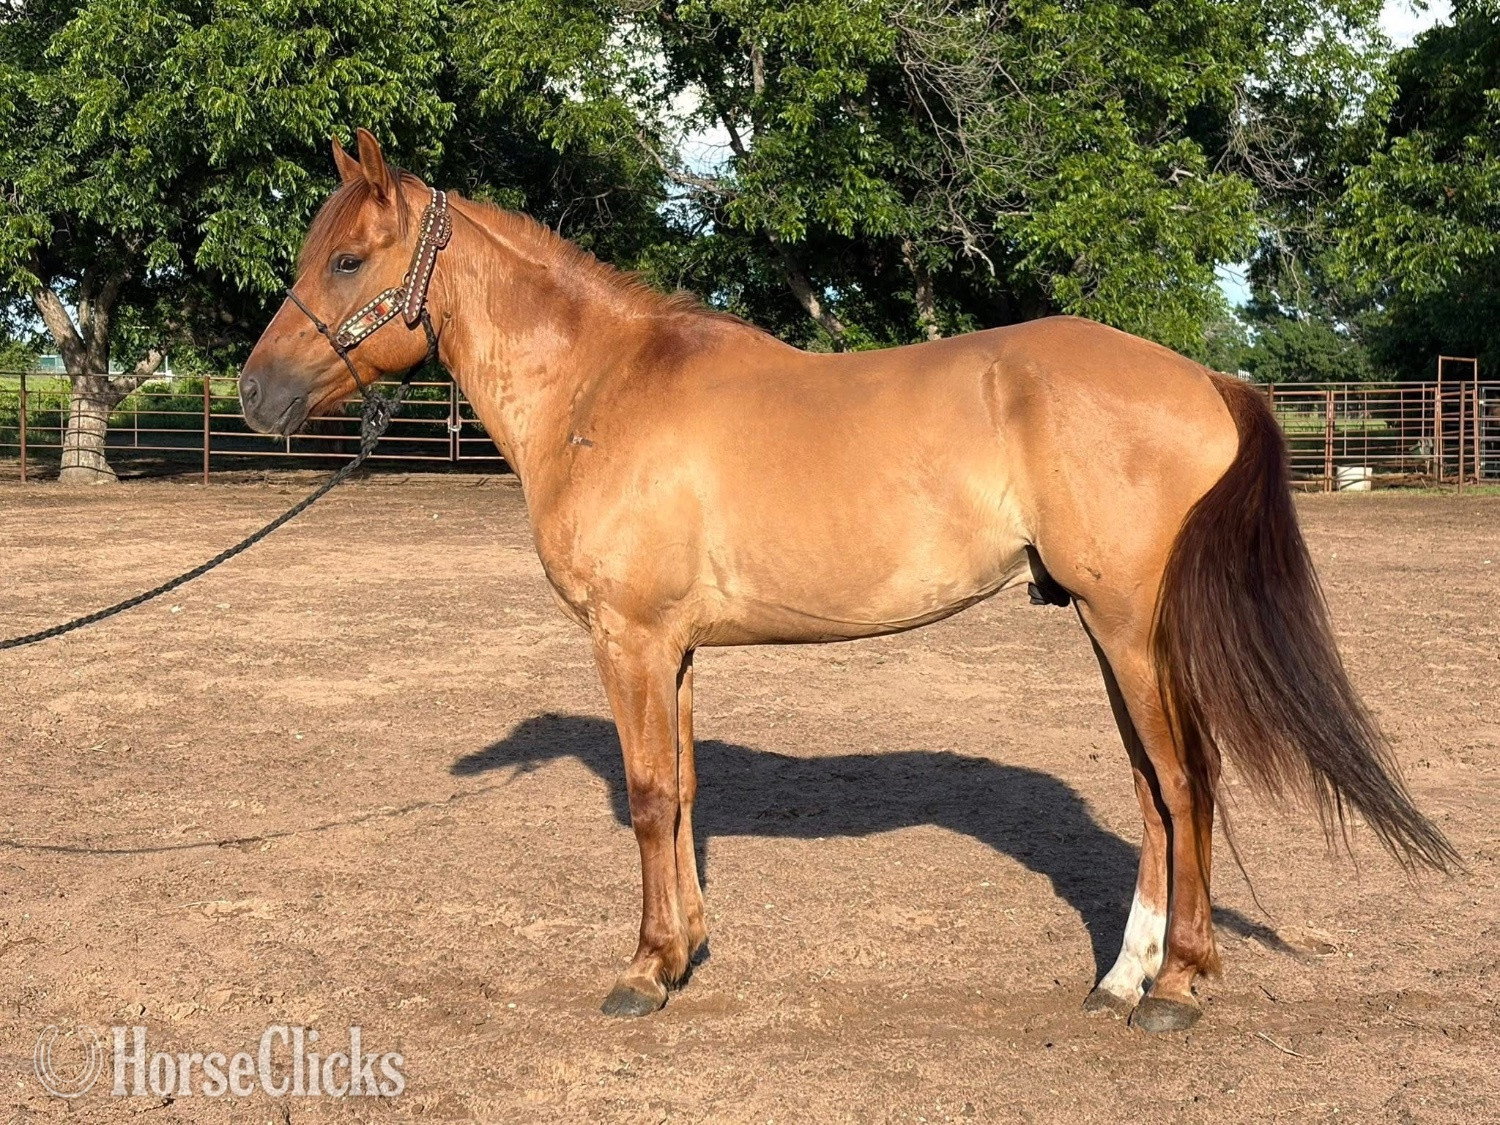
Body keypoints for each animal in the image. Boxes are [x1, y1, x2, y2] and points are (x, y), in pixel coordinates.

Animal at [239, 129, 1456, 1032]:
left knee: (1187, 779)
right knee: (1154, 790)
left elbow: (646, 797)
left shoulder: (628, 639)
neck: (602, 389)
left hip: (1132, 626)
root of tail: (1204, 378)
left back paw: (1183, 986)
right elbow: (684, 791)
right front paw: (686, 950)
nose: (254, 394)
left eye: (347, 261)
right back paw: (1124, 976)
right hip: (1110, 633)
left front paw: (642, 970)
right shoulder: (675, 650)